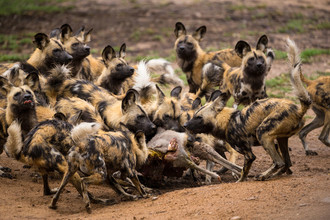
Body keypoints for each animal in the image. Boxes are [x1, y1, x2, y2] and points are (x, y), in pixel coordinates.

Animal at [186, 38, 312, 182]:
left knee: (279, 162)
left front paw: (239, 180)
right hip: (281, 139)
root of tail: (298, 109)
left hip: (262, 133)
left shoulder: (249, 154)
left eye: (199, 117)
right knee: (286, 163)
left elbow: (243, 173)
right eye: (194, 115)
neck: (227, 122)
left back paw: (263, 176)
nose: (185, 125)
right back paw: (272, 175)